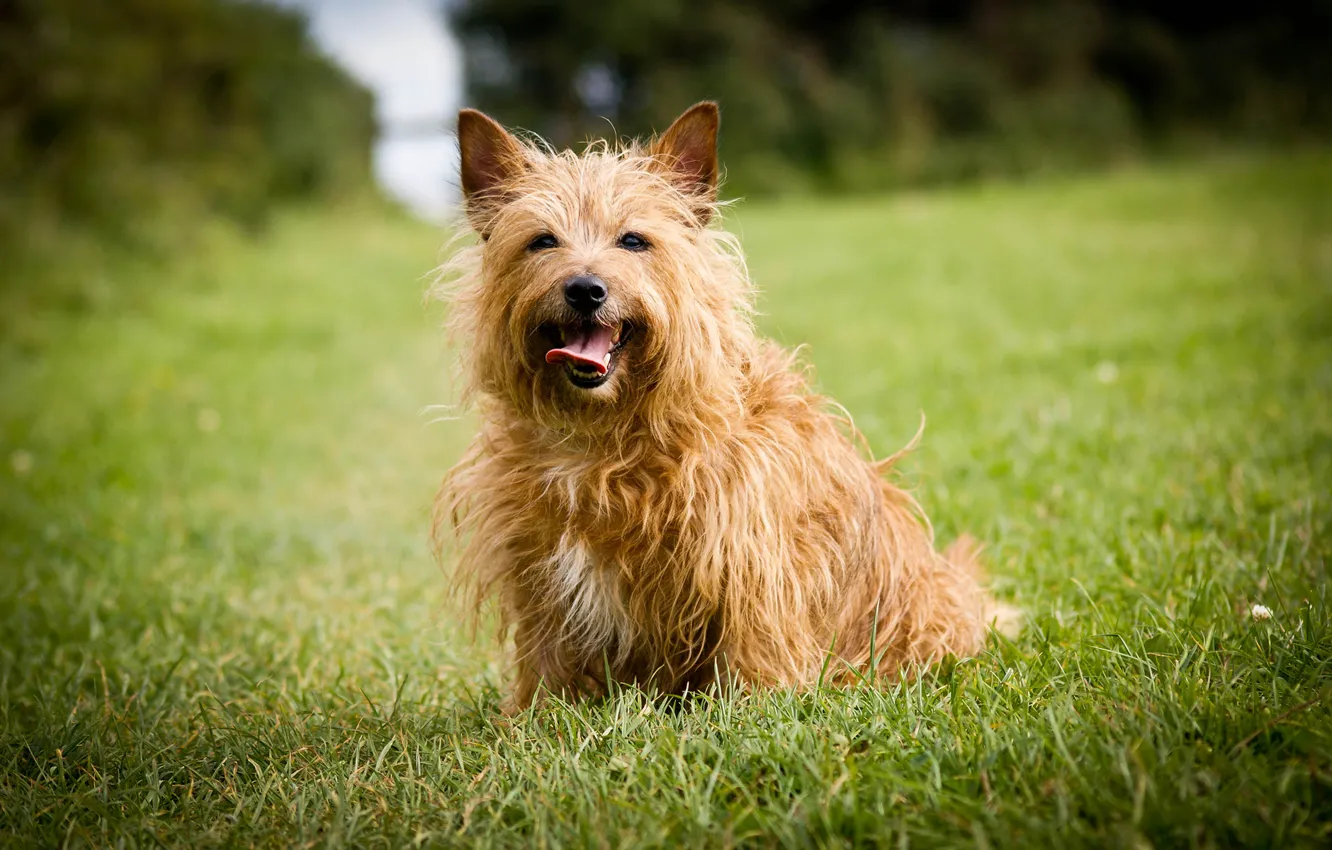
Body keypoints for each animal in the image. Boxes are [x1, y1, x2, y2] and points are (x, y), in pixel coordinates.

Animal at [434, 101, 1006, 714]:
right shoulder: (537, 567)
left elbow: (755, 643)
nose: (585, 288)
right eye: (542, 241)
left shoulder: (750, 554)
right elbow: (546, 653)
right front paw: (535, 716)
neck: (602, 432)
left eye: (633, 241)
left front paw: (756, 709)